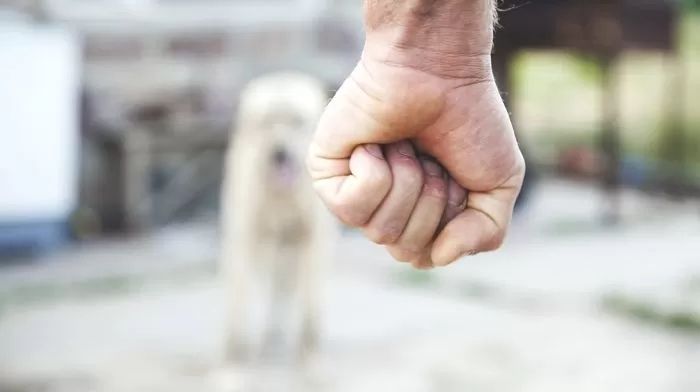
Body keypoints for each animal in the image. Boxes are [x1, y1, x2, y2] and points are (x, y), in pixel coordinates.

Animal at [221, 72, 336, 362]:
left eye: (296, 122)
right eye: (268, 122)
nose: (279, 153)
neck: (283, 198)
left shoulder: (311, 241)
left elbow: (309, 304)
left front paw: (310, 353)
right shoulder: (246, 237)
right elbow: (240, 300)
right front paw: (235, 355)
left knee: (285, 290)